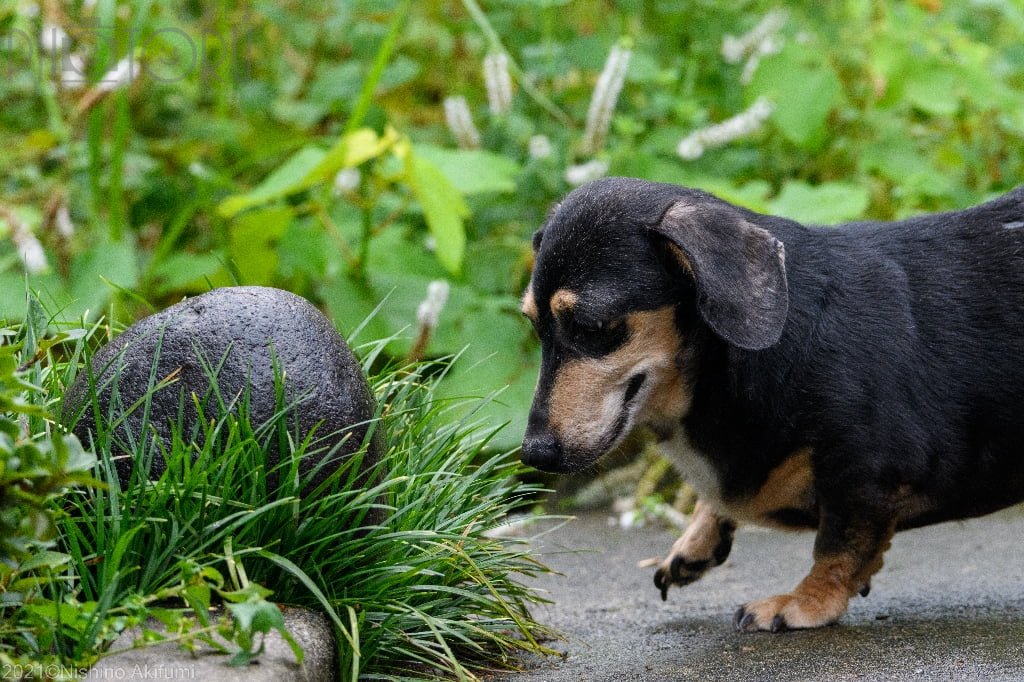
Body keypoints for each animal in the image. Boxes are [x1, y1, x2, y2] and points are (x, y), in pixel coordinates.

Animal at [524, 176, 1024, 630]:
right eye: (533, 323)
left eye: (592, 325)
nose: (533, 454)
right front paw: (695, 541)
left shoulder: (865, 473)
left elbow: (838, 545)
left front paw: (804, 602)